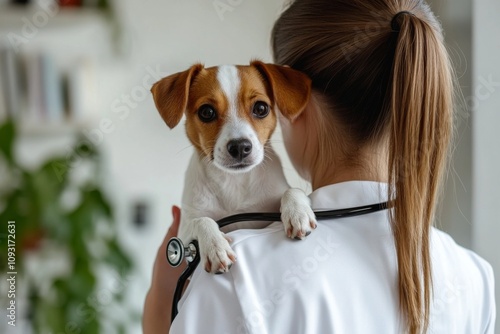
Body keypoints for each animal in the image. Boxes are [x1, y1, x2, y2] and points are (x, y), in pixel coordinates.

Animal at [150, 60, 318, 274]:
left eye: (261, 108)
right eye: (206, 112)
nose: (239, 147)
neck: (234, 182)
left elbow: (293, 190)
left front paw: (298, 213)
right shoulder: (185, 228)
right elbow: (201, 220)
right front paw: (215, 246)